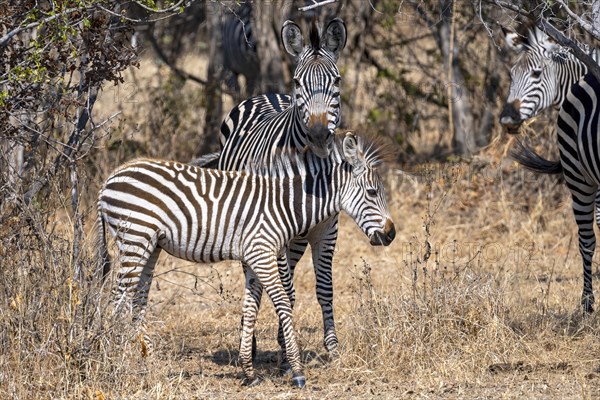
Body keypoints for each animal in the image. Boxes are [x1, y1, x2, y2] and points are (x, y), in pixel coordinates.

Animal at [97, 131, 398, 388]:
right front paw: (297, 371)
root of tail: (108, 181)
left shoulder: (255, 257)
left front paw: (249, 371)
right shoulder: (262, 254)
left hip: (150, 245)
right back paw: (113, 362)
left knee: (137, 300)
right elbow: (283, 304)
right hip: (135, 238)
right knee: (117, 301)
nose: (391, 234)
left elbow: (251, 308)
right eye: (372, 193)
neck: (283, 205)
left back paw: (146, 363)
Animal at [199, 18, 346, 362]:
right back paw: (249, 340)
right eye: (298, 82)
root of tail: (264, 95)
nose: (319, 136)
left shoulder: (326, 229)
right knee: (253, 274)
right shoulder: (273, 227)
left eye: (336, 81)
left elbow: (324, 287)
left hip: (295, 238)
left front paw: (331, 347)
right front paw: (285, 349)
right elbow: (286, 290)